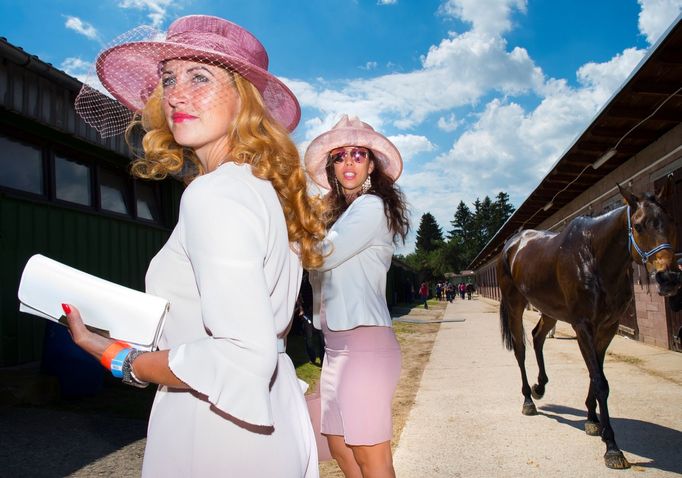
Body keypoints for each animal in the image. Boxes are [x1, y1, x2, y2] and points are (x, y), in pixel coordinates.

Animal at [496, 181, 676, 468]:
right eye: (638, 226)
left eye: (671, 221)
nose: (668, 278)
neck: (594, 258)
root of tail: (511, 245)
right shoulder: (583, 326)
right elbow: (600, 380)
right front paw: (612, 448)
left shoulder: (608, 326)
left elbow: (596, 373)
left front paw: (592, 420)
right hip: (515, 304)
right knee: (520, 349)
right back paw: (528, 400)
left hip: (550, 309)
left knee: (537, 336)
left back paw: (540, 387)